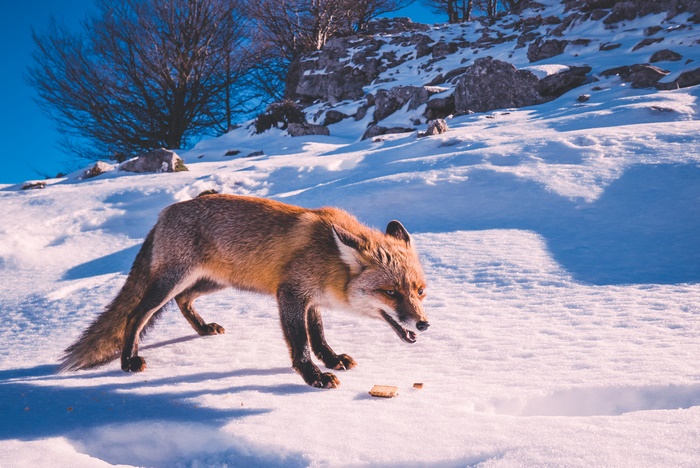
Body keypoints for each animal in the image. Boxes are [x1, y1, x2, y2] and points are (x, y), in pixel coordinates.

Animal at [60, 194, 429, 388]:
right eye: (390, 292)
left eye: (420, 291)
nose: (423, 324)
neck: (330, 259)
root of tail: (165, 212)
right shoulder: (291, 294)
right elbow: (301, 343)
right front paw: (313, 375)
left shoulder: (311, 299)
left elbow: (318, 335)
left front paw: (332, 359)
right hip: (173, 280)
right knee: (136, 314)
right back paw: (128, 360)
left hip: (213, 282)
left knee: (183, 300)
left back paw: (203, 329)